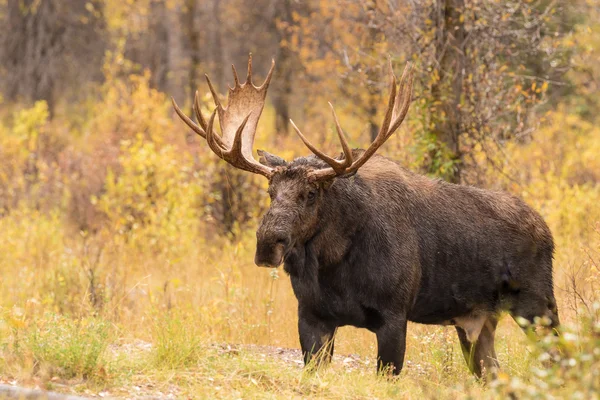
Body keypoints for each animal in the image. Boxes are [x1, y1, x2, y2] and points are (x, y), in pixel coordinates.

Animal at [171, 55, 560, 378]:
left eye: (311, 194)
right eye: (270, 192)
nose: (268, 244)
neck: (333, 266)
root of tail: (547, 231)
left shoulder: (394, 316)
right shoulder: (312, 316)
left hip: (538, 306)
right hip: (477, 321)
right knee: (492, 373)